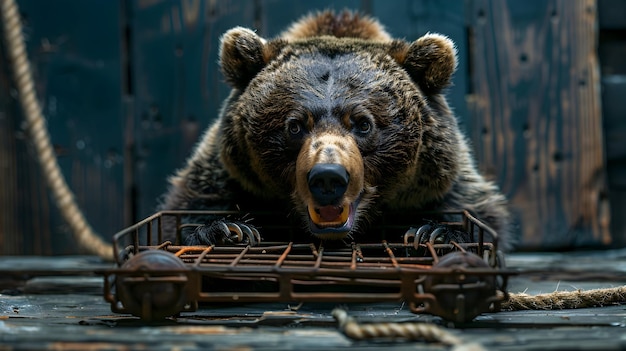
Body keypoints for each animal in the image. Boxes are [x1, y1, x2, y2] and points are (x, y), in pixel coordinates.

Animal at [158, 10, 510, 250]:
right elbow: (191, 206)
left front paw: (437, 231)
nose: (328, 177)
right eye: (294, 125)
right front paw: (225, 229)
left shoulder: (442, 177)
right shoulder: (226, 171)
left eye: (363, 123)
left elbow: (473, 208)